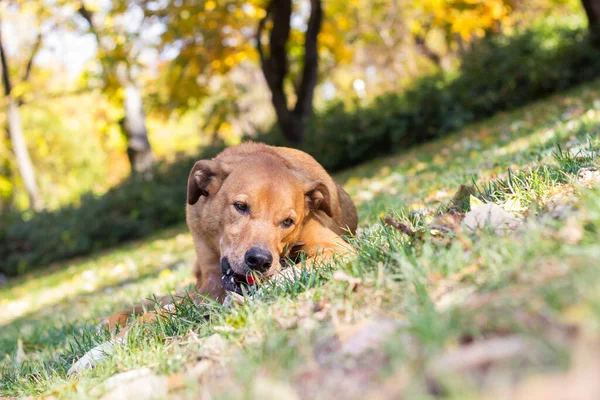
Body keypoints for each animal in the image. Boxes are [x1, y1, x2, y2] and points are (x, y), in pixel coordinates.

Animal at [105, 142, 356, 330]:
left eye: (288, 222)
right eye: (240, 206)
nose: (259, 261)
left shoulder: (337, 249)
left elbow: (285, 274)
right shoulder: (211, 281)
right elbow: (177, 306)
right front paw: (137, 325)